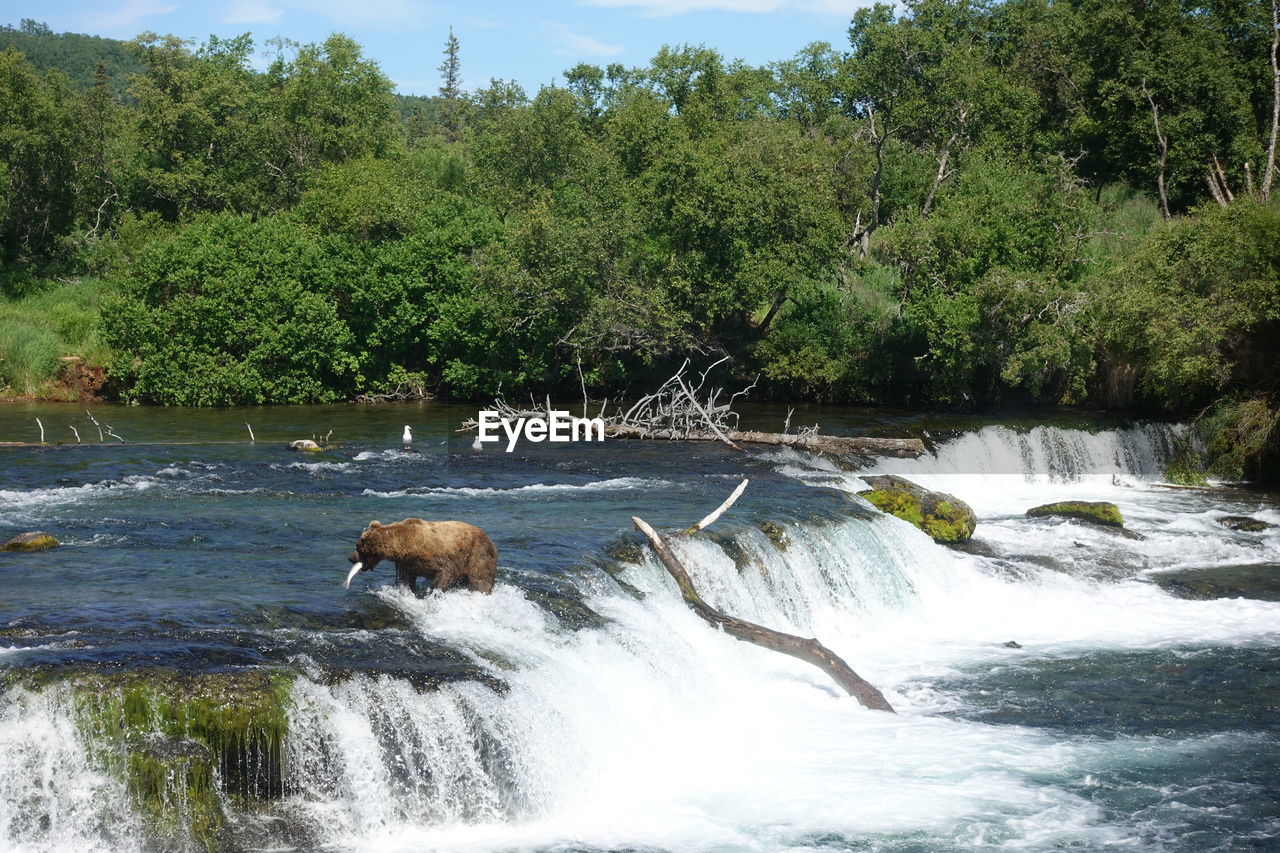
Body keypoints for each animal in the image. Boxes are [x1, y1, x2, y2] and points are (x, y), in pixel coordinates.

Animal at [343, 517, 496, 591]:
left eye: (358, 546)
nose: (350, 558)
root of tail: (490, 540)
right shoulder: (407, 563)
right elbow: (405, 579)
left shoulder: (442, 556)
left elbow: (447, 573)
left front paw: (434, 591)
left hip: (478, 556)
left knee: (480, 580)